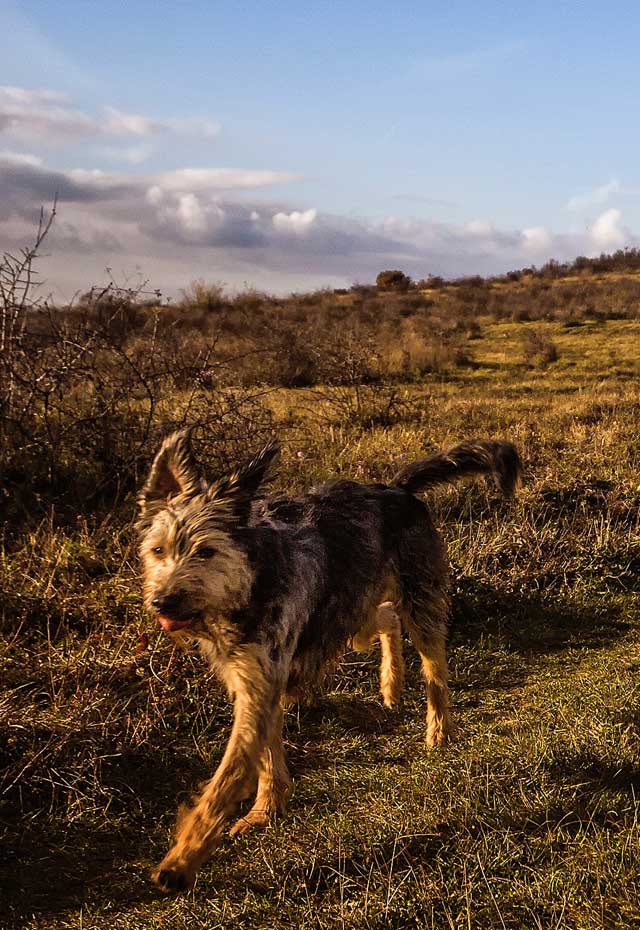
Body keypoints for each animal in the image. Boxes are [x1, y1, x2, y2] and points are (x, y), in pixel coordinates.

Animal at [138, 432, 524, 888]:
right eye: (157, 550)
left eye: (206, 551)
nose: (163, 600)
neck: (251, 581)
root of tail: (395, 488)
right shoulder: (252, 679)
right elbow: (265, 756)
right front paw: (266, 808)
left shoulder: (261, 683)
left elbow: (226, 779)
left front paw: (181, 860)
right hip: (353, 611)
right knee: (386, 618)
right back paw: (391, 685)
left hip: (419, 601)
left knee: (435, 668)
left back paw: (439, 730)